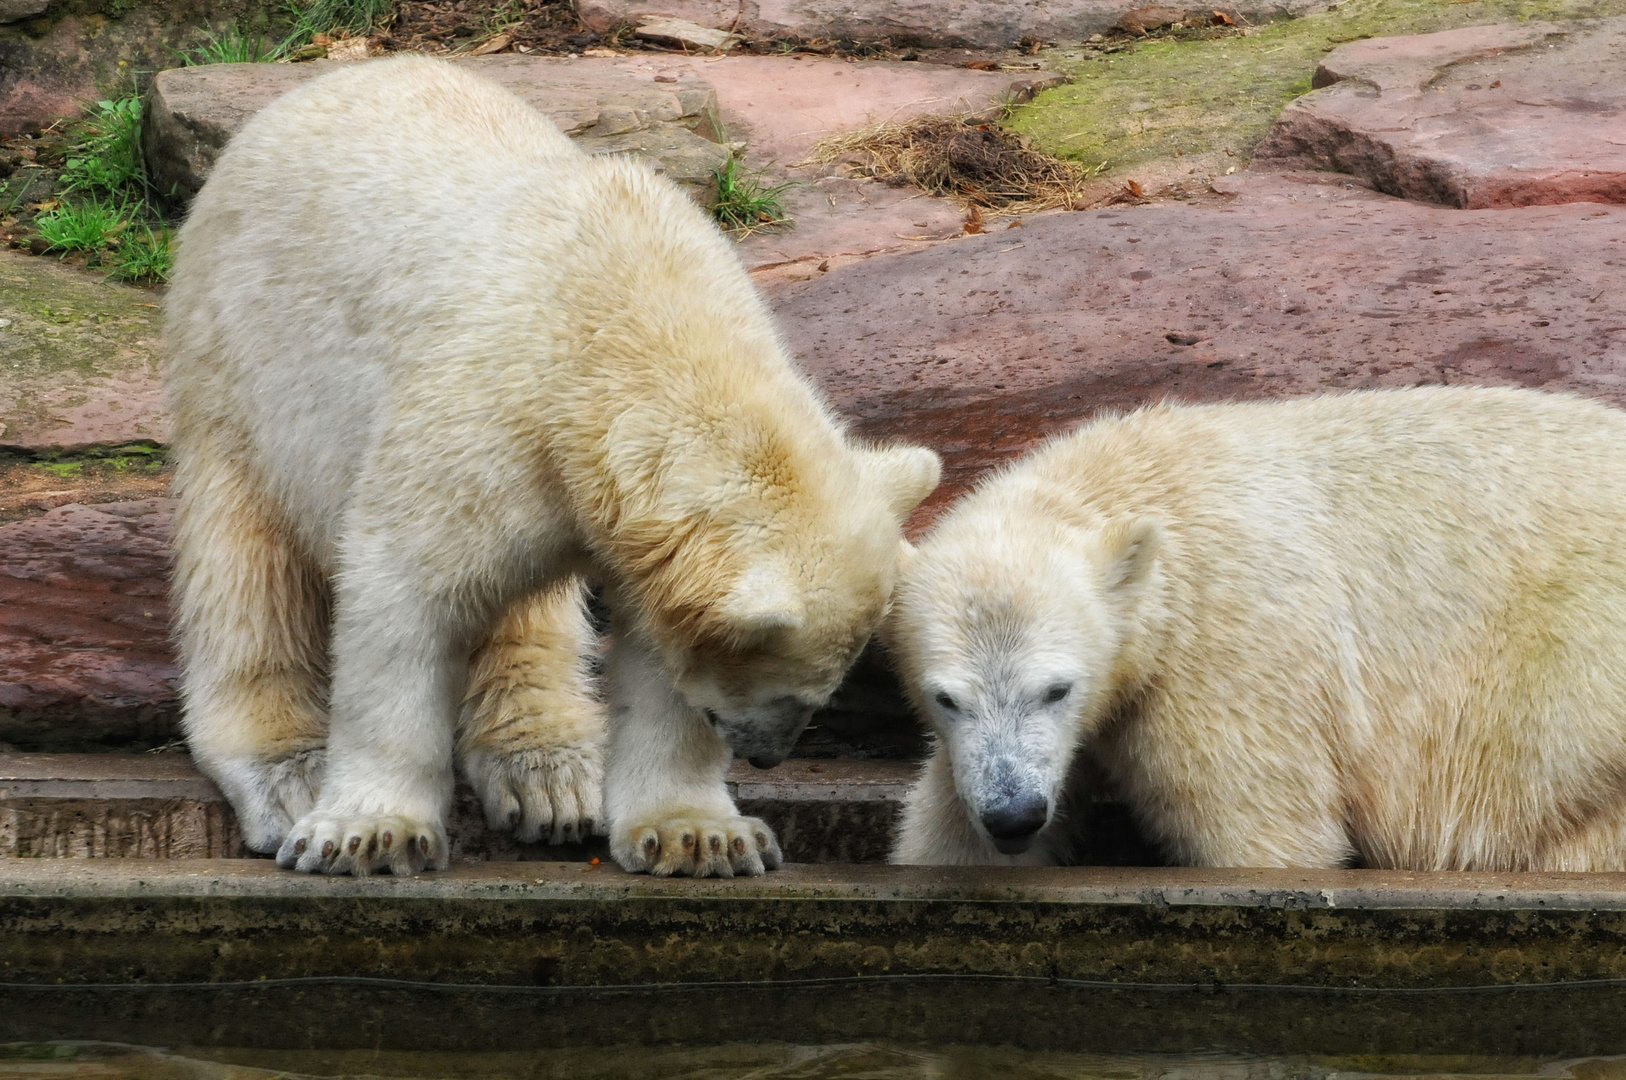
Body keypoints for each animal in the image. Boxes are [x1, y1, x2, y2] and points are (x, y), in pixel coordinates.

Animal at [165, 54, 943, 871]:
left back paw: (549, 773)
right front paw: (369, 833)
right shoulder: (483, 418)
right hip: (237, 359)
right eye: (783, 682)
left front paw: (701, 835)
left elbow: (654, 655)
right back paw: (287, 772)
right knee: (246, 565)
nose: (768, 753)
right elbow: (402, 594)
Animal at [891, 388, 1626, 871]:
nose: (1014, 813)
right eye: (946, 698)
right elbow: (948, 840)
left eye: (1056, 688)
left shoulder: (1225, 653)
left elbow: (1264, 832)